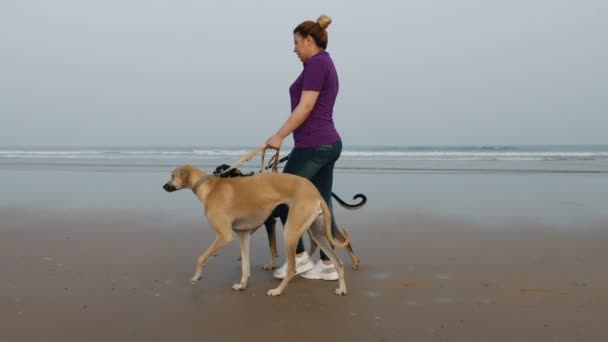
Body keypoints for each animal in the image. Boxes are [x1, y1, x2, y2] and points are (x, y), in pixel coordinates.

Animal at [164, 164, 350, 296]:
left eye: (172, 175)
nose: (164, 186)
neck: (210, 188)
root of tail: (315, 192)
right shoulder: (244, 235)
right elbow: (245, 266)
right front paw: (242, 285)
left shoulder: (224, 236)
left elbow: (201, 258)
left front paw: (196, 277)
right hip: (318, 233)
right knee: (338, 263)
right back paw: (342, 289)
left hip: (291, 231)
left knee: (292, 269)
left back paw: (277, 291)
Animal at [214, 163, 366, 270]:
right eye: (216, 171)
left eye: (221, 172)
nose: (212, 177)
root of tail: (316, 191)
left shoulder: (269, 222)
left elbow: (271, 245)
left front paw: (271, 264)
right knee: (320, 241)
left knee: (341, 239)